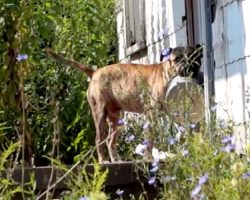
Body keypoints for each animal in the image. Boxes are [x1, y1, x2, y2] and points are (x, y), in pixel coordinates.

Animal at [46, 45, 203, 162]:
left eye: (195, 57)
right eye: (177, 59)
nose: (188, 66)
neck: (167, 74)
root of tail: (95, 73)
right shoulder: (151, 115)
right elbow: (150, 139)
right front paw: (148, 158)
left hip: (116, 120)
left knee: (110, 141)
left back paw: (116, 160)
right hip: (99, 115)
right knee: (99, 140)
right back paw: (103, 161)